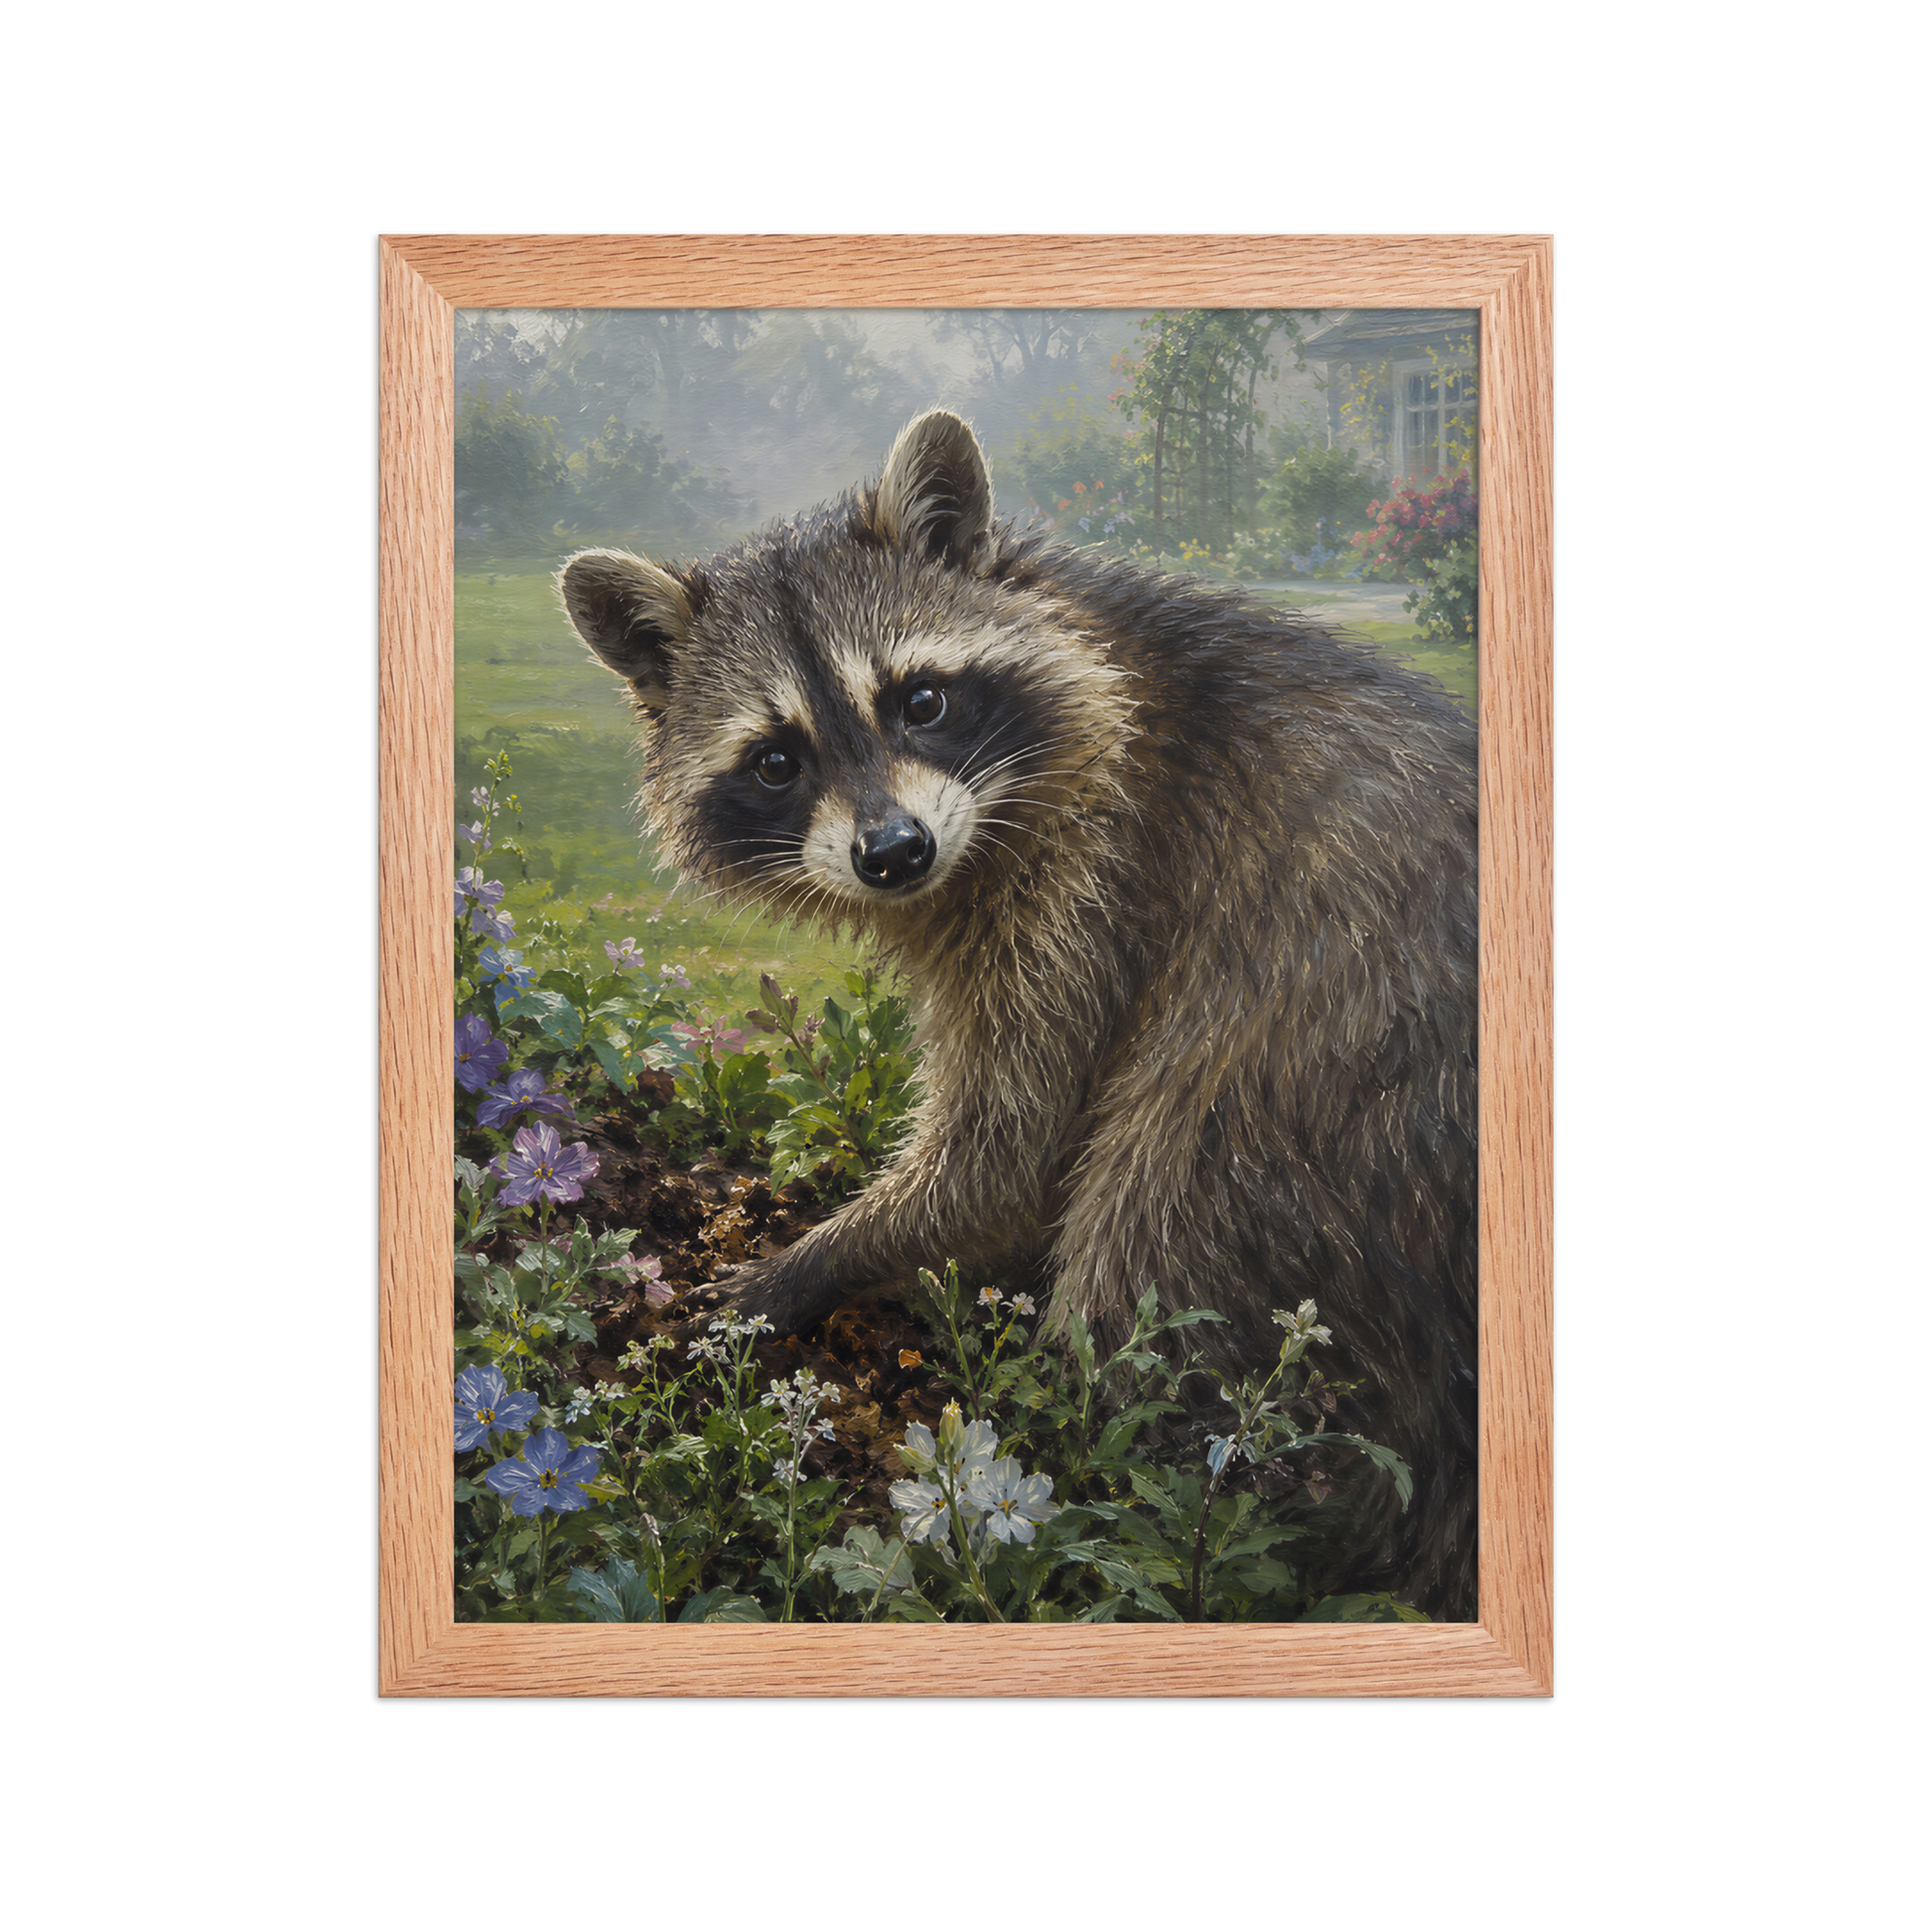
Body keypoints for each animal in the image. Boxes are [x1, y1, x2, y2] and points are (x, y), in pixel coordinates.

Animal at [560, 409, 1478, 1620]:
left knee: (1155, 1232)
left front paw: (817, 1258)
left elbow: (1007, 1152)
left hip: (1316, 1107)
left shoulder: (1100, 879)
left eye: (921, 700)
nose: (893, 853)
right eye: (776, 759)